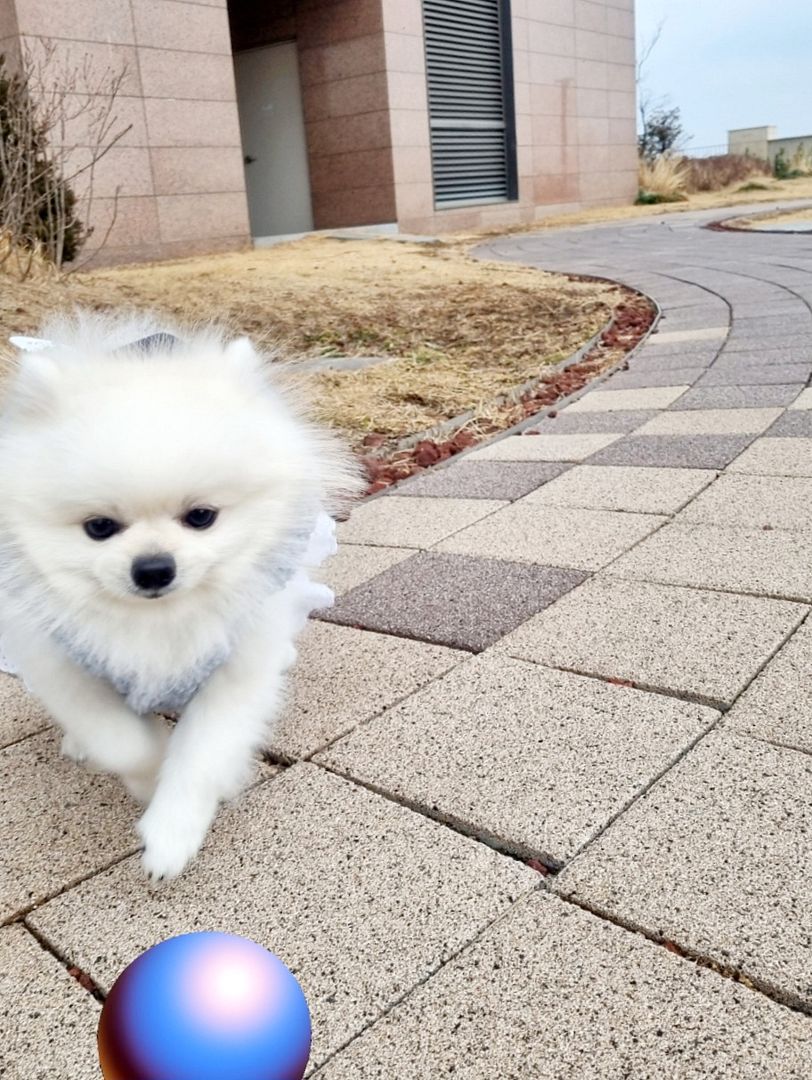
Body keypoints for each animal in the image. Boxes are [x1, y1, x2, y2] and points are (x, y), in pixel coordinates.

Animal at [0, 311, 360, 876]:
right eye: (99, 527)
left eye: (201, 517)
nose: (153, 568)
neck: (159, 622)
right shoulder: (68, 667)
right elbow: (123, 742)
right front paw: (149, 780)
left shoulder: (234, 670)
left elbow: (203, 752)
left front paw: (174, 830)